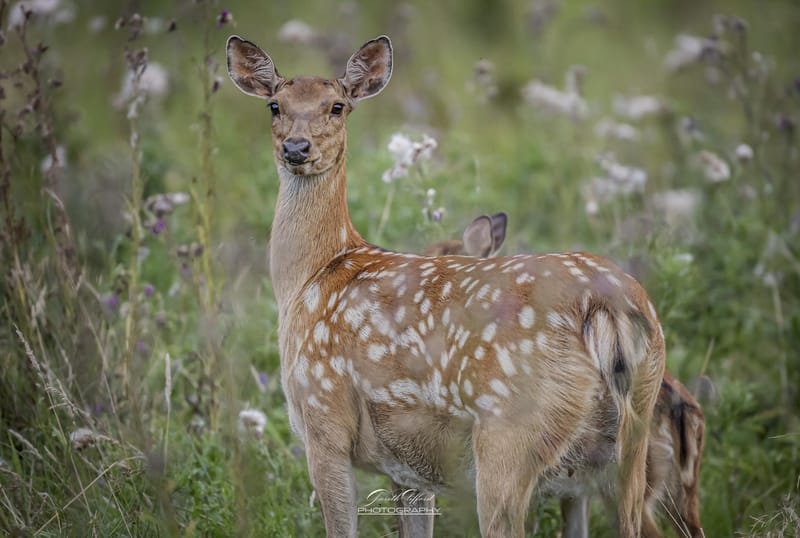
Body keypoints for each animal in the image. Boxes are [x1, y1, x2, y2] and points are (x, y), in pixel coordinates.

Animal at [226, 34, 666, 538]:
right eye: (274, 106)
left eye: (337, 106)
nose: (296, 148)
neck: (312, 277)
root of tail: (605, 306)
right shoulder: (407, 468)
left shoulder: (323, 419)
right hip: (626, 443)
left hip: (509, 435)